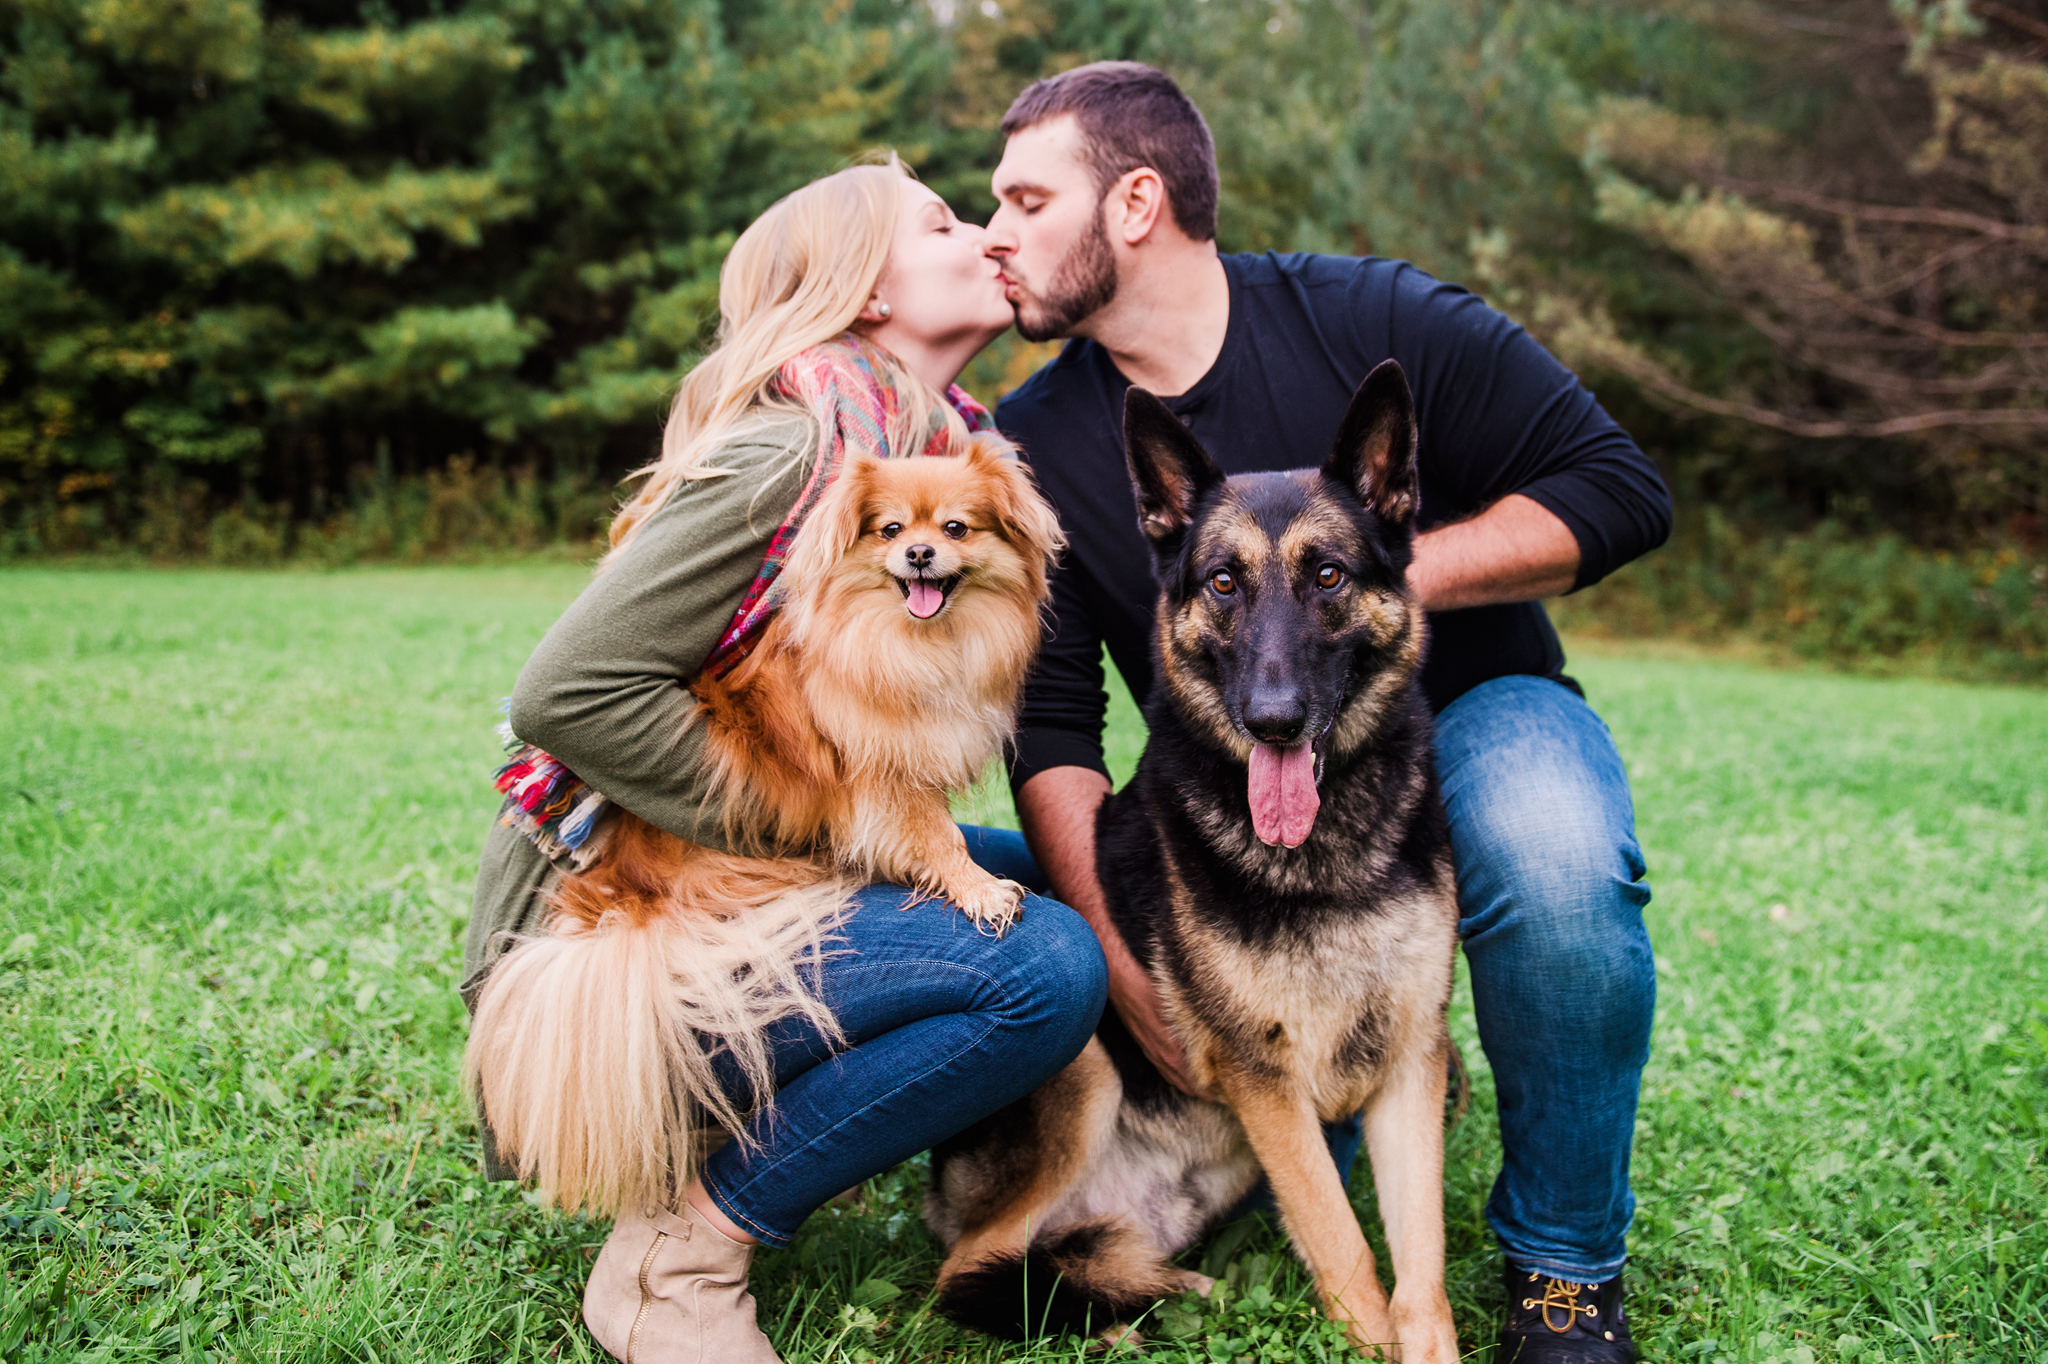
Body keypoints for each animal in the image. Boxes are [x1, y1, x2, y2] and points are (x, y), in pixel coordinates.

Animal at [921, 360, 1466, 1359]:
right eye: (1221, 583)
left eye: (1328, 575)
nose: (1274, 721)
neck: (1326, 850)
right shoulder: (1267, 1081)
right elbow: (1347, 1252)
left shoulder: (1412, 1062)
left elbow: (1421, 1279)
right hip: (1089, 1065)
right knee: (975, 1273)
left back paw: (1170, 1292)